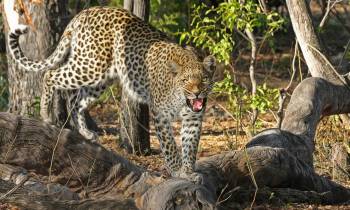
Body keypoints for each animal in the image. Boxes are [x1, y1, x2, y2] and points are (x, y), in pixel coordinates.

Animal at [6, 6, 217, 177]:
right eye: (185, 81)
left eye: (204, 79)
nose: (197, 94)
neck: (182, 99)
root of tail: (83, 13)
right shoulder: (160, 115)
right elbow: (170, 146)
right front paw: (177, 171)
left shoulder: (193, 119)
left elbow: (190, 145)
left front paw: (189, 171)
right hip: (90, 65)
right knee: (50, 74)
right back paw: (45, 114)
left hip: (101, 78)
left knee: (76, 100)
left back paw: (85, 132)